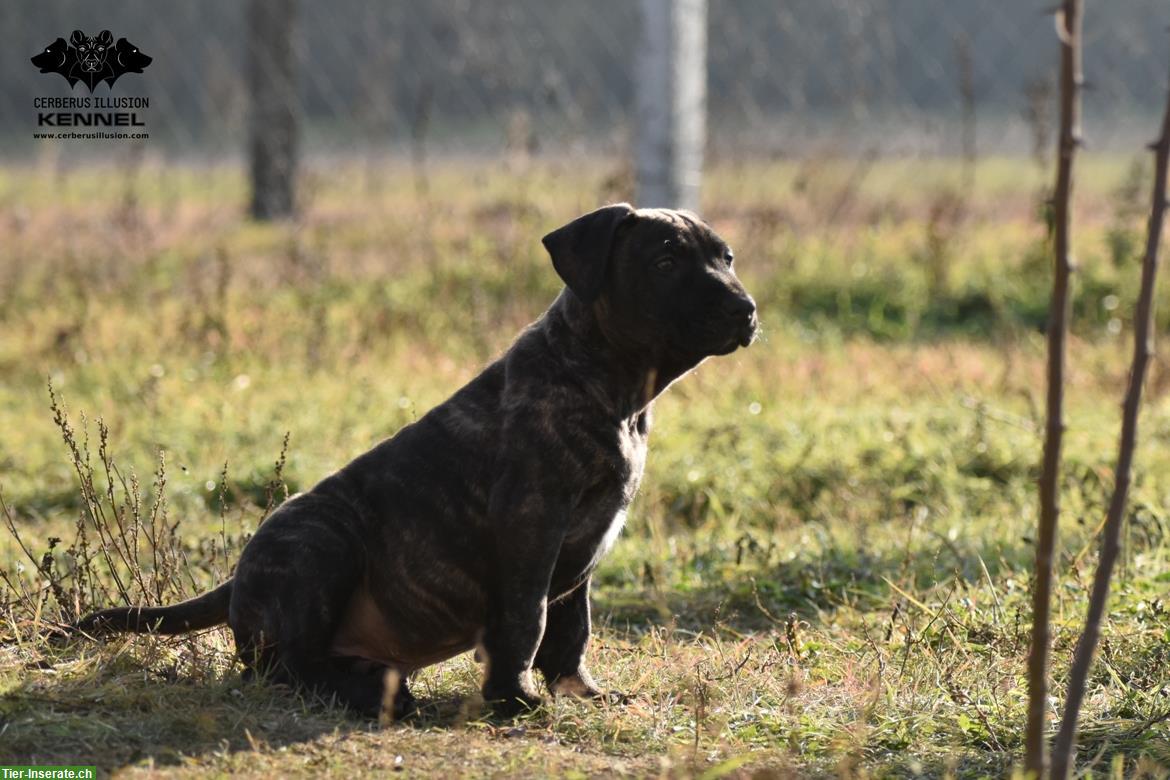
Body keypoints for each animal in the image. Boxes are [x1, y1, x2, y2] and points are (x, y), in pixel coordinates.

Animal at [80, 203, 758, 720]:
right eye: (665, 263)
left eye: (725, 258)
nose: (745, 309)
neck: (611, 384)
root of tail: (237, 576)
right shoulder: (532, 526)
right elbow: (527, 620)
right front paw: (516, 701)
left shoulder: (582, 547)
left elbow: (571, 629)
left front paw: (582, 694)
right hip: (322, 541)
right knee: (278, 668)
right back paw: (365, 693)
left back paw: (371, 681)